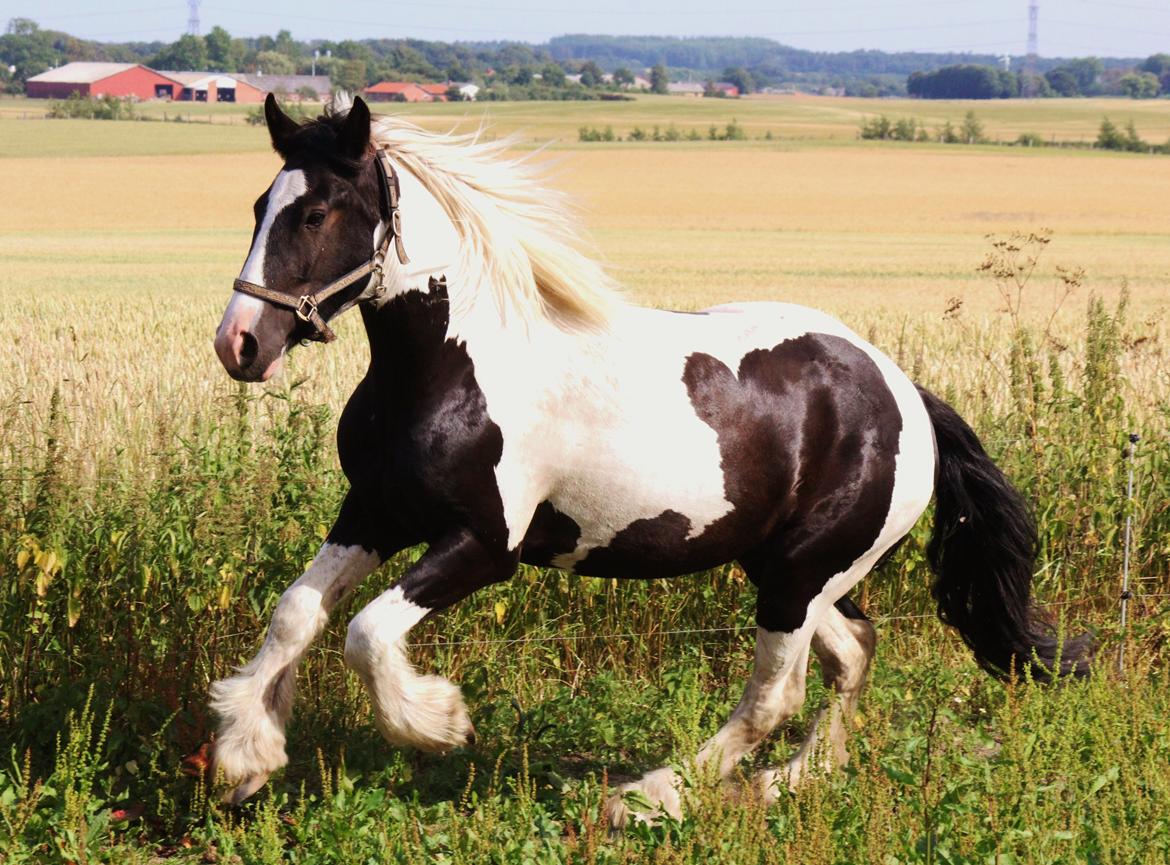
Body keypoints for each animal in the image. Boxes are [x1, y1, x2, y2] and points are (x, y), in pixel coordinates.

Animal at [208, 96, 1085, 824]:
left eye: (315, 212)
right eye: (257, 206)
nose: (240, 344)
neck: (450, 367)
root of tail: (906, 392)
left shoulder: (484, 545)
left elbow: (365, 633)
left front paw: (440, 722)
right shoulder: (374, 512)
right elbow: (296, 612)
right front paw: (246, 757)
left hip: (806, 570)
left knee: (775, 692)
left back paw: (649, 797)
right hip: (787, 567)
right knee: (850, 653)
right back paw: (782, 784)